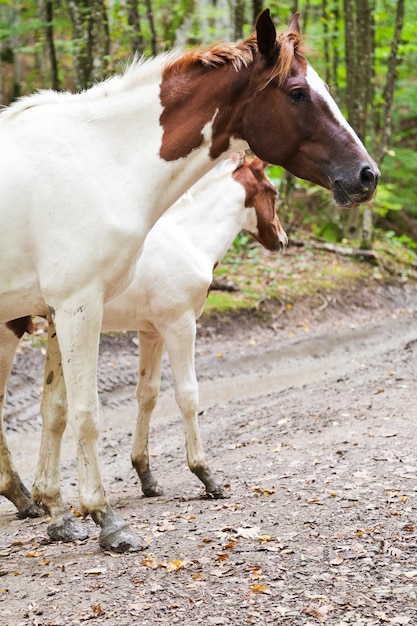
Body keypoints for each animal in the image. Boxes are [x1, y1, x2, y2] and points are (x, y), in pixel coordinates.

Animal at [0, 152, 286, 512]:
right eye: (273, 191)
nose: (281, 240)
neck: (188, 239)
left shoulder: (152, 333)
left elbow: (147, 394)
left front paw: (146, 475)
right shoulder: (180, 326)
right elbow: (187, 395)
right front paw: (206, 476)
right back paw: (22, 497)